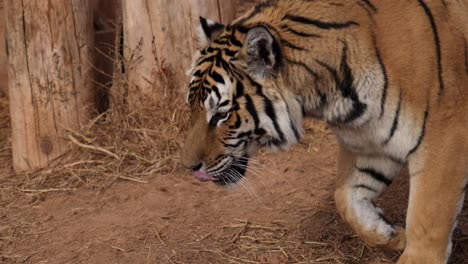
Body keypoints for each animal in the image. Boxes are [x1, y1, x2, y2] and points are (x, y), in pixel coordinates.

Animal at [180, 1, 468, 262]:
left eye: (221, 115)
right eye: (190, 105)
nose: (189, 167)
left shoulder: (445, 137)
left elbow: (427, 220)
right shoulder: (371, 139)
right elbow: (345, 196)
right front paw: (390, 233)